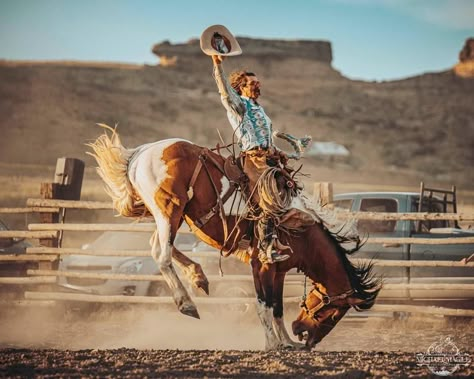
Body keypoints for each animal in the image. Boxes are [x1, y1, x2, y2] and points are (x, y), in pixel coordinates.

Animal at [89, 127, 382, 350]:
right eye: (334, 312)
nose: (307, 339)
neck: (304, 232)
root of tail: (141, 152)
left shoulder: (279, 270)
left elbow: (277, 307)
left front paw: (286, 342)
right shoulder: (261, 265)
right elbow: (263, 305)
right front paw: (272, 344)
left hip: (172, 215)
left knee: (157, 247)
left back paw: (198, 277)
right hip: (169, 209)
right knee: (162, 254)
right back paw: (187, 304)